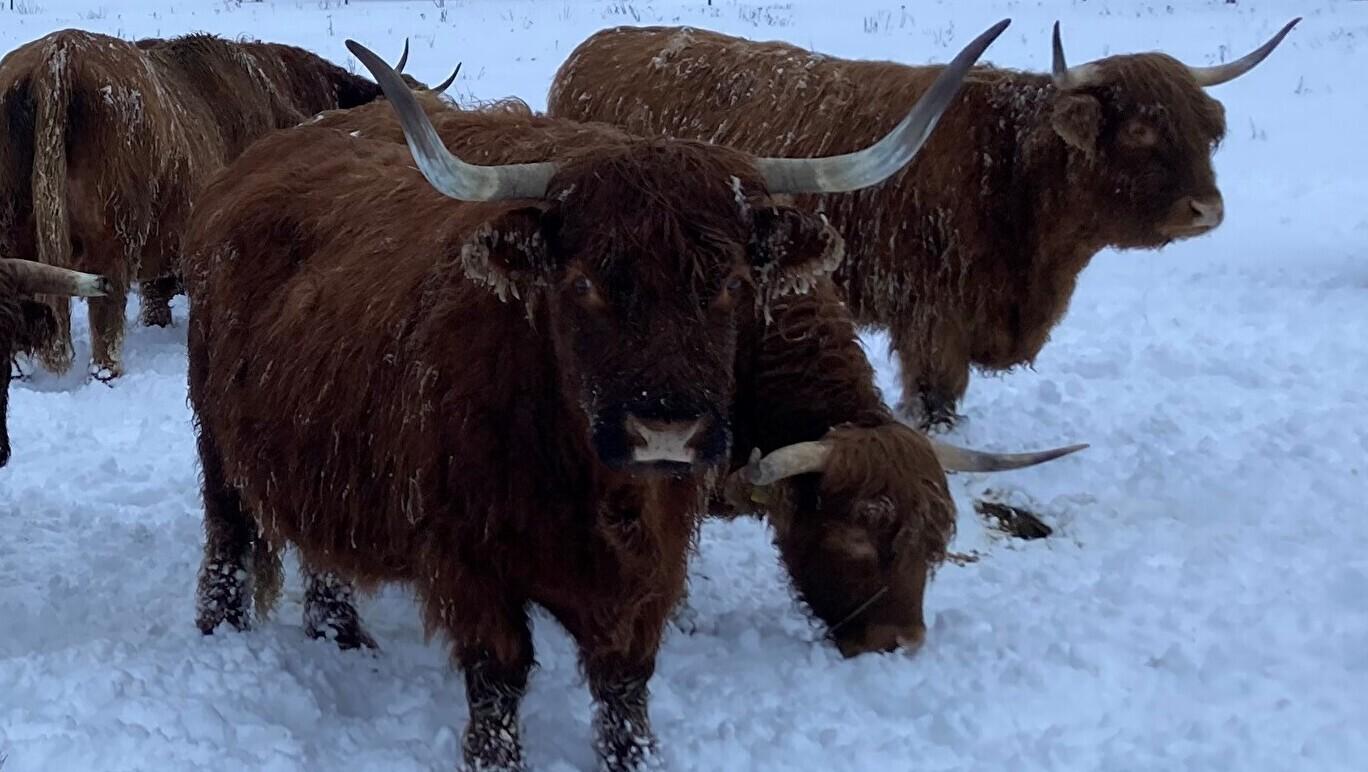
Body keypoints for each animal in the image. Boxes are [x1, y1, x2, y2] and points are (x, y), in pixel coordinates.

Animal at [185, 25, 1034, 769]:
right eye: (585, 282)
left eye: (731, 282)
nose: (898, 645)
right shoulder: (469, 563)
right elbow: (498, 682)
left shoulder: (649, 563)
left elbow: (626, 685)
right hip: (218, 443)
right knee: (229, 537)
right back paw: (223, 636)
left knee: (319, 547)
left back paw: (342, 633)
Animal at [547, 19, 1301, 429]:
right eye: (1143, 130)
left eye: (1207, 130)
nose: (1207, 210)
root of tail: (596, 45)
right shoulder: (935, 314)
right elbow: (937, 396)